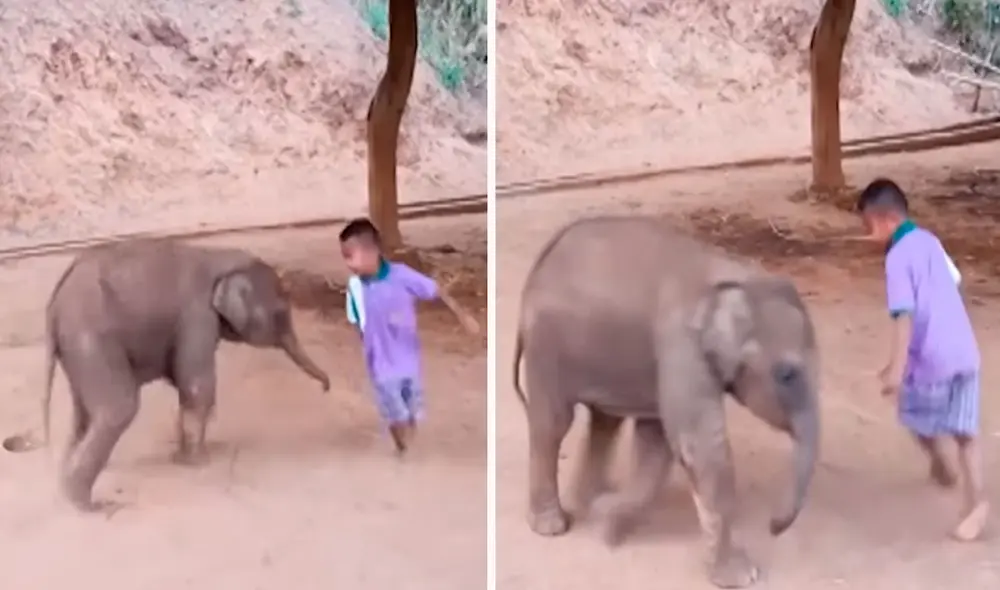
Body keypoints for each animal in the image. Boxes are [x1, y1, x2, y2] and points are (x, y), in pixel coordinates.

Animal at [41, 238, 331, 512]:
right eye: (281, 313)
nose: (326, 387)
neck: (220, 256)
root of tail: (54, 305)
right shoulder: (198, 316)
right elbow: (197, 385)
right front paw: (199, 462)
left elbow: (184, 384)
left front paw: (182, 458)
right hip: (91, 339)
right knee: (119, 409)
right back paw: (90, 506)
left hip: (77, 351)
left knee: (84, 415)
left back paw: (67, 486)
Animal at [511, 216, 820, 588]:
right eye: (787, 374)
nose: (773, 527)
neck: (740, 277)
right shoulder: (681, 346)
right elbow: (699, 447)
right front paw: (743, 576)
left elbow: (656, 438)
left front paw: (606, 519)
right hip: (546, 345)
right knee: (554, 423)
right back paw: (553, 526)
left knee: (604, 421)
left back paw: (590, 500)